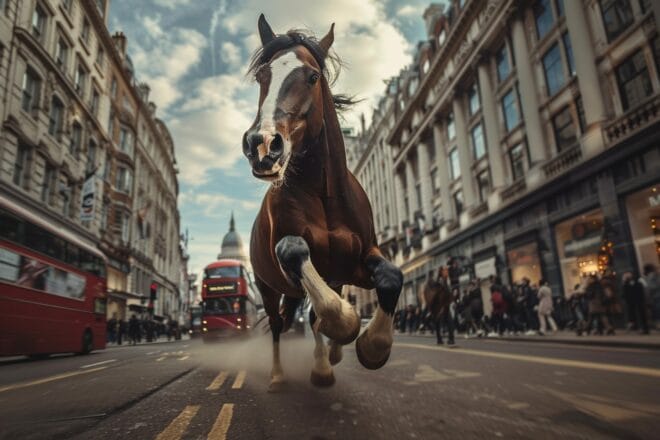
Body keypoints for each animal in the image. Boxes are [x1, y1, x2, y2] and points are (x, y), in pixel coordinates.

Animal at [241, 15, 403, 391]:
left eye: (313, 77)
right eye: (262, 76)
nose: (261, 145)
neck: (325, 195)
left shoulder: (356, 263)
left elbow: (392, 275)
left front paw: (372, 346)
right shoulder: (292, 263)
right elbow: (295, 253)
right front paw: (346, 325)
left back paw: (326, 363)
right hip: (267, 287)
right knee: (277, 325)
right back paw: (280, 374)